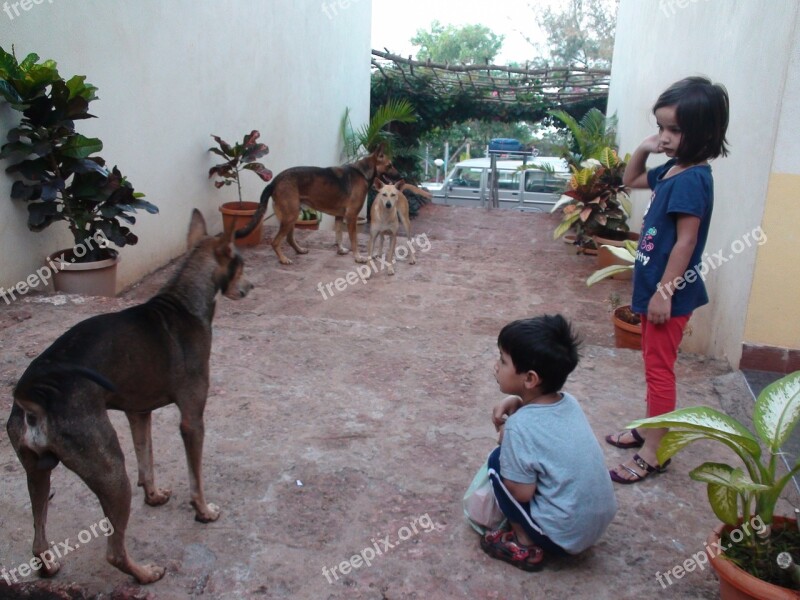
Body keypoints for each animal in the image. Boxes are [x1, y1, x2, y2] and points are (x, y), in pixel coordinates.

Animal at [4, 212, 252, 584]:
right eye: (240, 265)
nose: (250, 288)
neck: (183, 302)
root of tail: (34, 398)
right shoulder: (192, 420)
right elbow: (196, 478)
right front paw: (204, 511)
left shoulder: (139, 413)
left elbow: (146, 460)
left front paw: (154, 496)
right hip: (111, 472)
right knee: (114, 551)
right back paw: (145, 573)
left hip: (37, 473)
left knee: (37, 535)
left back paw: (48, 566)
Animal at [238, 144, 400, 264]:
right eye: (390, 165)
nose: (400, 177)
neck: (363, 172)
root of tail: (274, 181)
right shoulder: (351, 217)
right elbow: (353, 240)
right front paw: (358, 257)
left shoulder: (339, 217)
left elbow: (339, 236)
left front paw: (340, 250)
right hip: (290, 215)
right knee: (275, 242)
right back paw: (283, 259)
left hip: (292, 215)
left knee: (289, 238)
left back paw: (299, 250)